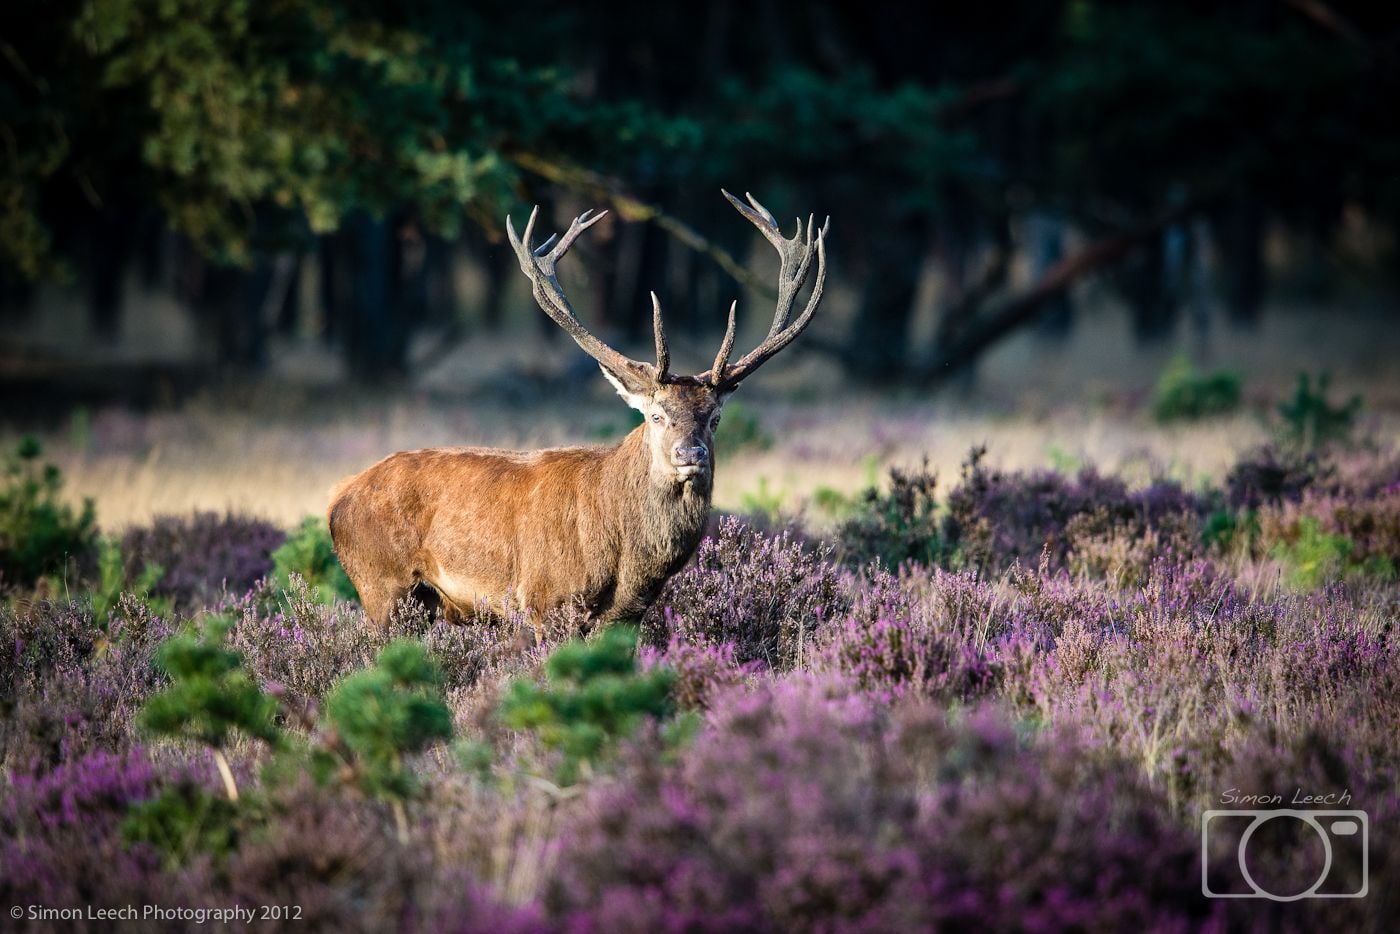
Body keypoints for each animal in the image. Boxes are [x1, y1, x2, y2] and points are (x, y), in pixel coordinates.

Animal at [327, 190, 828, 634]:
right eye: (656, 416)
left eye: (714, 418)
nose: (691, 454)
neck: (625, 559)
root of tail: (338, 499)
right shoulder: (543, 600)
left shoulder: (627, 616)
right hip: (381, 587)